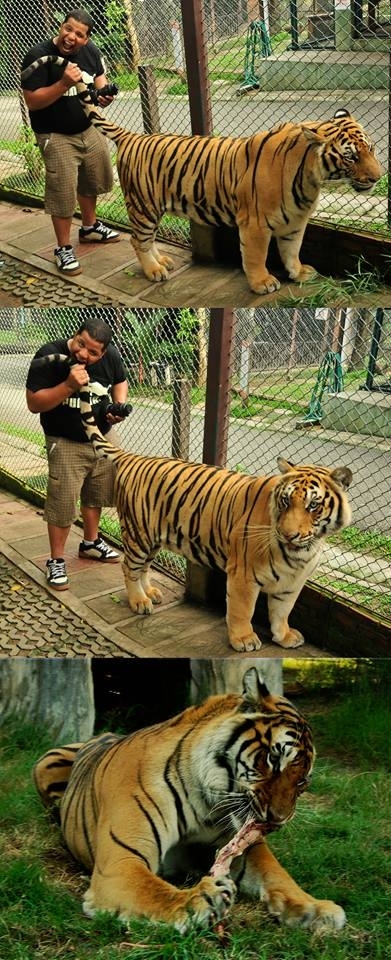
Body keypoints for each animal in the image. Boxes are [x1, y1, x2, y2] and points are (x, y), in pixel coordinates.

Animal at [19, 56, 382, 294]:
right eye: (351, 155)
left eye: (372, 149)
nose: (378, 178)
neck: (312, 178)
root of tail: (134, 136)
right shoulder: (254, 223)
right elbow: (256, 255)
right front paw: (262, 283)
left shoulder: (294, 220)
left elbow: (292, 249)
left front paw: (299, 272)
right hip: (143, 205)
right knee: (138, 240)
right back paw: (153, 271)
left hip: (152, 208)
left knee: (146, 240)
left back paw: (162, 262)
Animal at [33, 668, 346, 928]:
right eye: (273, 758)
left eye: (302, 780)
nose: (277, 821)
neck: (206, 804)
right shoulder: (121, 861)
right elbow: (155, 890)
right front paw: (200, 900)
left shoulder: (238, 846)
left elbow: (276, 873)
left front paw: (315, 907)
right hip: (44, 763)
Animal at [76, 382, 352, 652]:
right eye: (285, 501)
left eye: (313, 505)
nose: (288, 534)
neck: (303, 551)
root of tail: (135, 457)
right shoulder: (243, 574)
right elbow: (243, 610)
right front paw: (244, 640)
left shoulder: (291, 583)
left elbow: (282, 611)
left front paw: (283, 636)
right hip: (138, 534)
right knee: (129, 567)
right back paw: (139, 602)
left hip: (151, 538)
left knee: (143, 567)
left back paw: (150, 593)